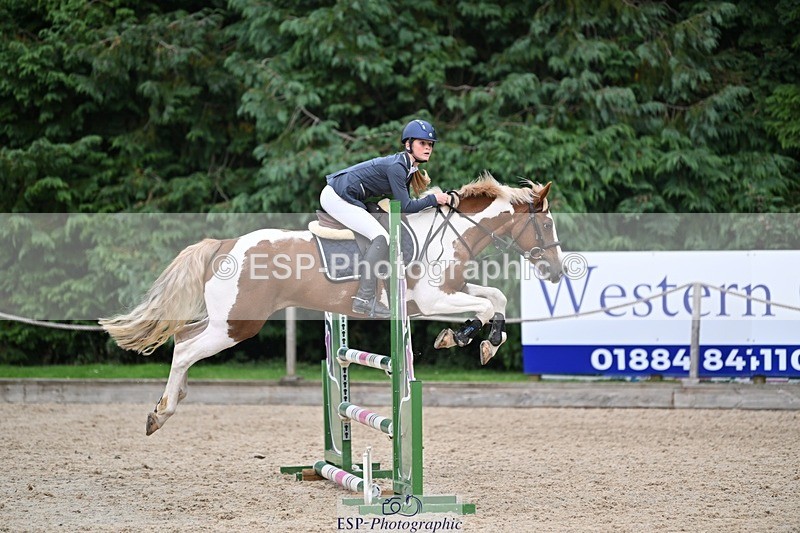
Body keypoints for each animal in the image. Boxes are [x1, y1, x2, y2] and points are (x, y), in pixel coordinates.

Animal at [99, 172, 564, 435]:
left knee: (183, 337)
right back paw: (162, 412)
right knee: (185, 348)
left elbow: (494, 298)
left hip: (224, 321)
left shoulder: (447, 292)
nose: (557, 273)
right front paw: (465, 337)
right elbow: (482, 309)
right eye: (545, 225)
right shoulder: (432, 299)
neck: (449, 233)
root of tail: (224, 244)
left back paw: (169, 403)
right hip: (236, 324)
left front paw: (482, 341)